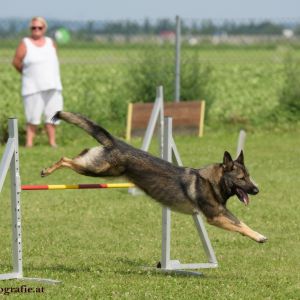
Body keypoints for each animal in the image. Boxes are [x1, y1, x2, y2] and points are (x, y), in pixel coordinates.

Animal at [41, 111, 268, 243]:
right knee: (65, 159)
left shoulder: (222, 213)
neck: (213, 182)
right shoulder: (215, 217)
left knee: (78, 154)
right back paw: (46, 170)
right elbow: (239, 226)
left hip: (98, 167)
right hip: (98, 170)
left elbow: (241, 223)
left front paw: (259, 235)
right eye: (241, 178)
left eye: (249, 176)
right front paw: (258, 237)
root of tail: (116, 142)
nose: (257, 190)